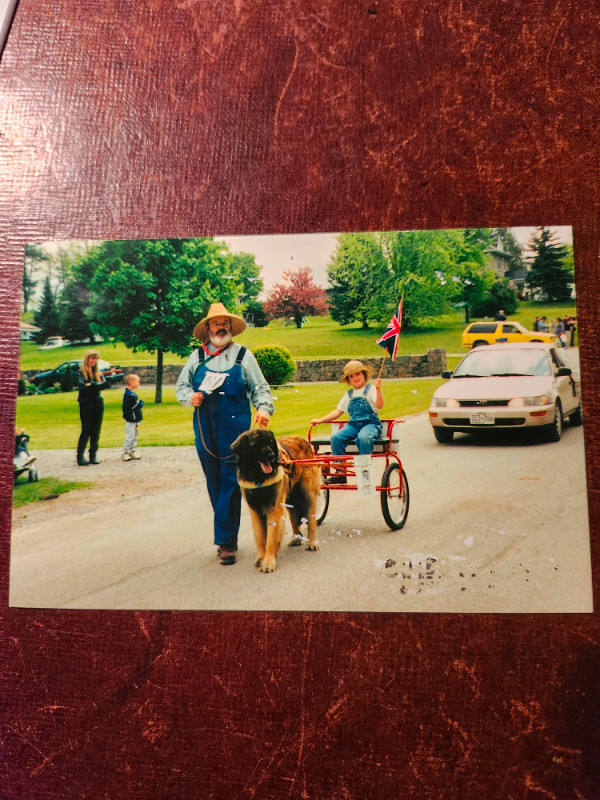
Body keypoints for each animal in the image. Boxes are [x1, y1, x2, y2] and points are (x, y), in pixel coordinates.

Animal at [231, 428, 324, 572]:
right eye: (255, 444)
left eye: (270, 441)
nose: (271, 456)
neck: (259, 478)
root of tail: (304, 441)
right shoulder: (255, 510)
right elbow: (260, 536)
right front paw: (261, 558)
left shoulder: (273, 508)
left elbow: (271, 538)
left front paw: (268, 562)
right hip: (290, 497)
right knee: (293, 517)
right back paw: (295, 537)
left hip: (307, 493)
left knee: (311, 518)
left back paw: (312, 542)